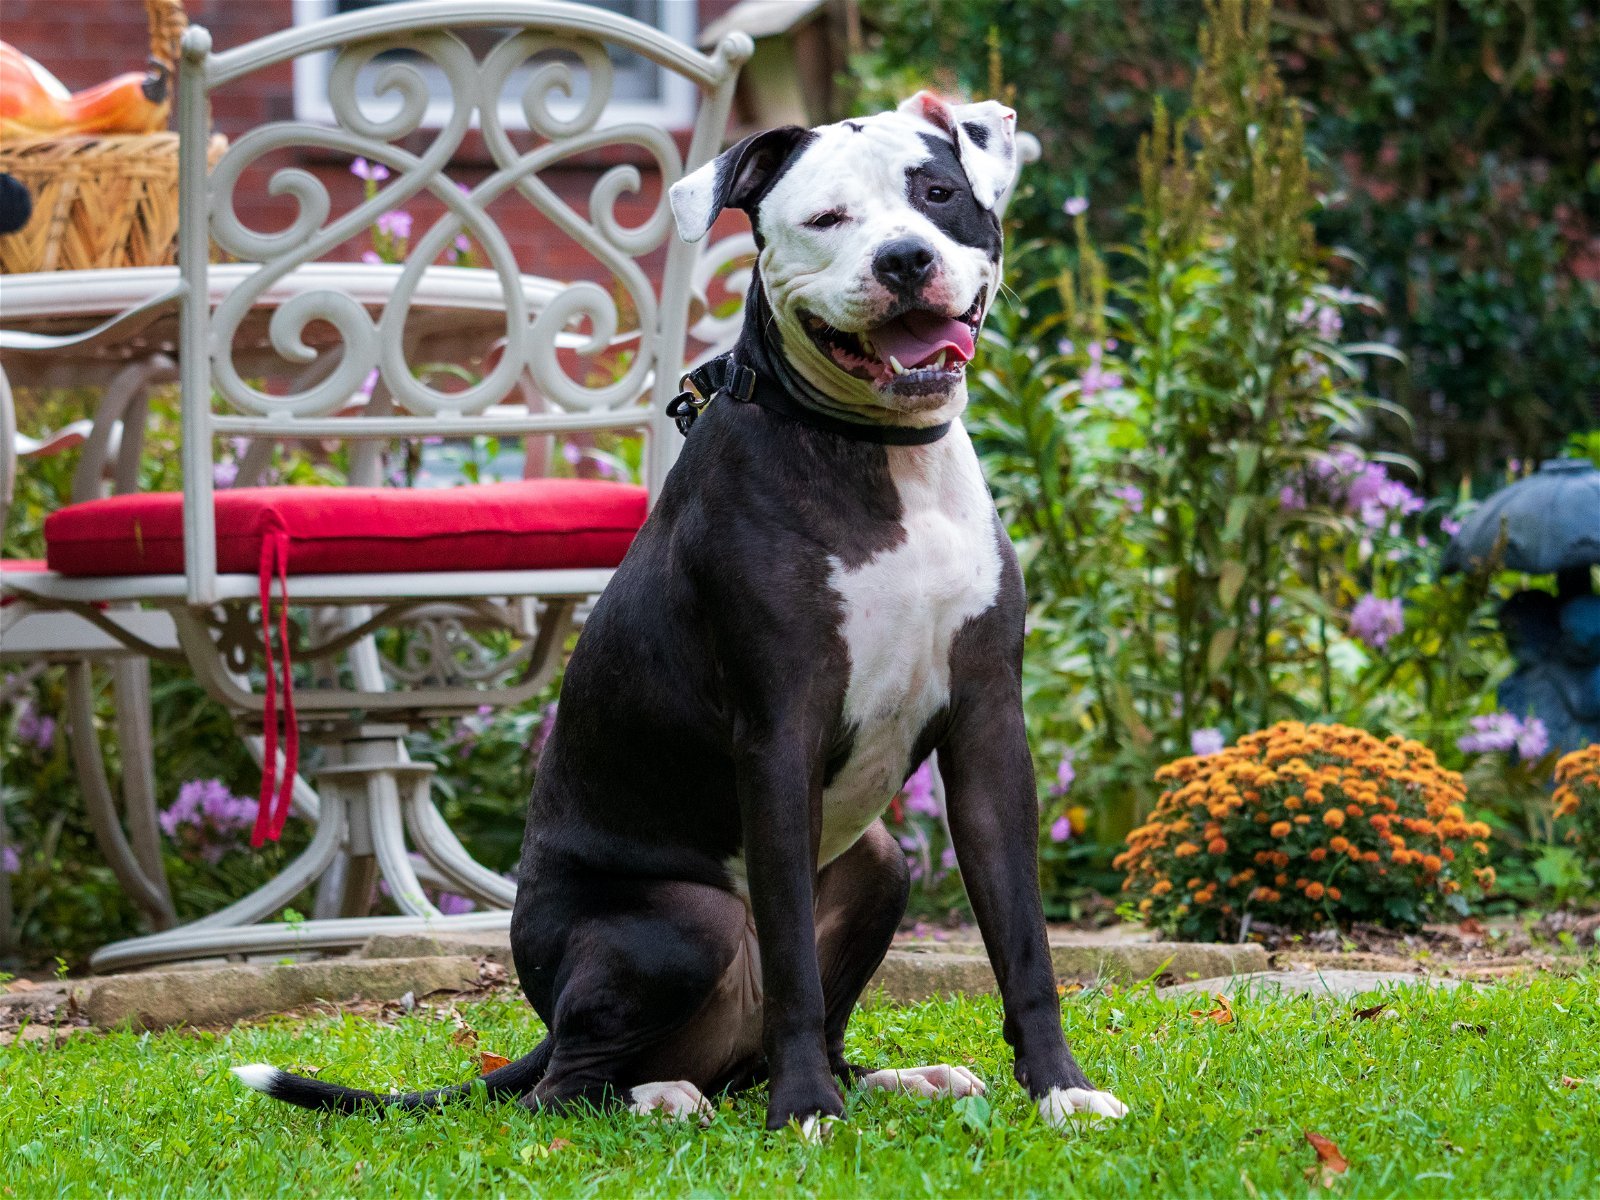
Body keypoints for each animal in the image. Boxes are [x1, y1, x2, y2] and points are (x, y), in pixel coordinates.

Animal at [233, 91, 1126, 1139]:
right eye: (827, 219)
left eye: (938, 195)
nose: (904, 259)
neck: (877, 452)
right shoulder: (777, 736)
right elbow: (792, 961)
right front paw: (805, 1114)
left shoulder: (989, 729)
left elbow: (1023, 940)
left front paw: (1061, 1089)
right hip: (677, 925)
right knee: (567, 1086)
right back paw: (668, 1097)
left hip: (882, 868)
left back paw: (891, 1080)